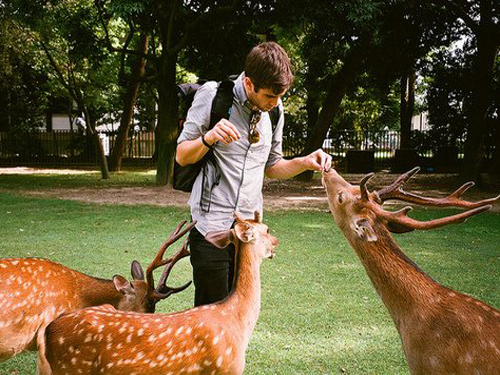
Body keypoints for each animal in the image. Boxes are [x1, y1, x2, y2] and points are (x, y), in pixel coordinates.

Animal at [41, 214, 278, 375]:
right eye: (266, 229)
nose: (276, 243)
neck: (237, 322)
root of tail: (49, 330)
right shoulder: (226, 367)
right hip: (72, 368)